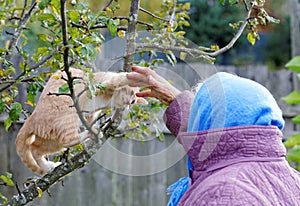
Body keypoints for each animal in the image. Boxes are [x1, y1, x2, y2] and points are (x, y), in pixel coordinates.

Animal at [15, 68, 146, 175]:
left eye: (133, 102)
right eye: (131, 94)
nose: (128, 103)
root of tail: (32, 118)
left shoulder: (91, 114)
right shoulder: (103, 84)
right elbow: (120, 79)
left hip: (52, 142)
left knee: (35, 149)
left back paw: (48, 167)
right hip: (69, 117)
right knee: (68, 139)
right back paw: (93, 133)